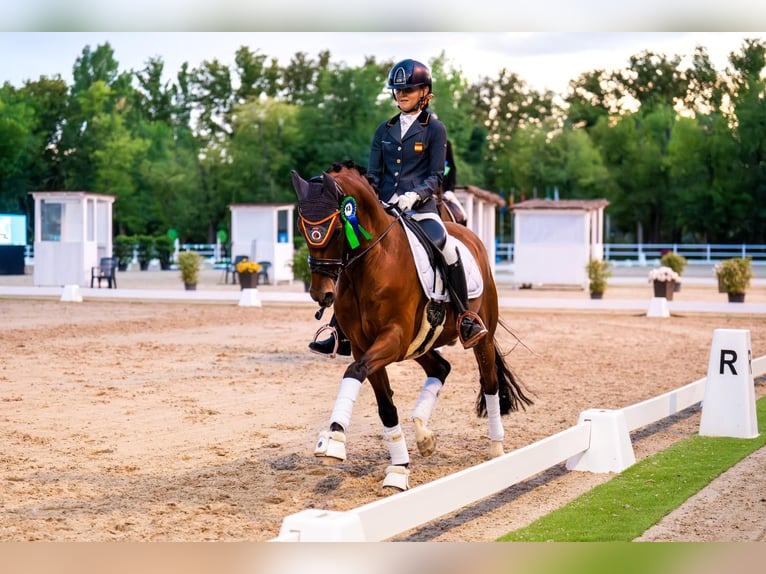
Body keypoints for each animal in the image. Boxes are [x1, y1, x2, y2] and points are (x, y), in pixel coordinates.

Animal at [290, 160, 536, 492]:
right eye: (302, 227)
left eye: (339, 228)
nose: (321, 293)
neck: (373, 263)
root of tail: (468, 235)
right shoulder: (363, 346)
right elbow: (384, 404)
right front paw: (397, 468)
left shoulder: (392, 337)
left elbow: (354, 372)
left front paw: (335, 440)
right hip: (421, 343)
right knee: (441, 368)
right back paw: (423, 435)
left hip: (480, 337)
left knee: (490, 384)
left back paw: (497, 450)